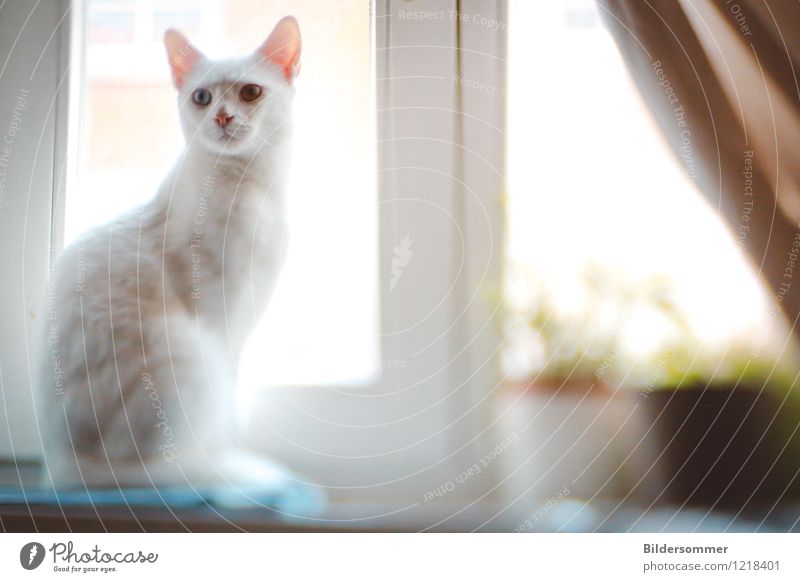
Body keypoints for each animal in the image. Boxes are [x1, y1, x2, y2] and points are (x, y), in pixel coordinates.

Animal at [34, 17, 304, 492]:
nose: (222, 116)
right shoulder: (225, 319)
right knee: (153, 467)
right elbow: (229, 414)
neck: (250, 184)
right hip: (192, 352)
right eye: (202, 97)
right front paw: (229, 460)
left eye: (250, 92)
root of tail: (63, 465)